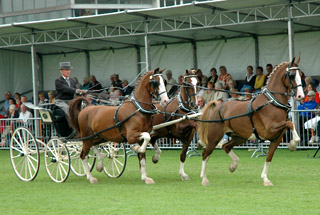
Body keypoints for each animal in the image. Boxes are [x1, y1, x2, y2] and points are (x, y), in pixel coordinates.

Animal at [198, 57, 304, 186]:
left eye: (301, 75)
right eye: (292, 75)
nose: (300, 96)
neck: (272, 102)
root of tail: (218, 105)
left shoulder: (276, 139)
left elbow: (269, 158)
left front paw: (265, 179)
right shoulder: (268, 130)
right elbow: (290, 124)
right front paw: (293, 144)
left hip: (239, 137)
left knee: (225, 146)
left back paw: (233, 165)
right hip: (215, 136)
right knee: (206, 154)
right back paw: (204, 179)